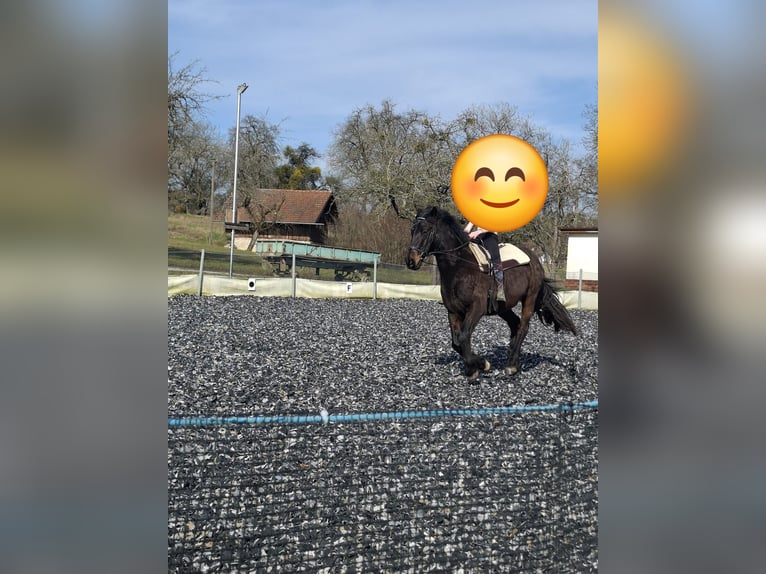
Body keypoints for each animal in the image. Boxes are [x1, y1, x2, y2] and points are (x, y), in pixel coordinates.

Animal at [406, 206, 577, 380]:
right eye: (412, 230)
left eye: (426, 230)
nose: (411, 261)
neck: (459, 267)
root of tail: (535, 259)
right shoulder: (453, 311)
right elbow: (456, 342)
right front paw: (478, 366)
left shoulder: (476, 308)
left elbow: (463, 336)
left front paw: (477, 368)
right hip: (502, 307)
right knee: (515, 324)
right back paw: (512, 361)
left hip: (529, 298)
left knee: (523, 327)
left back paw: (511, 366)